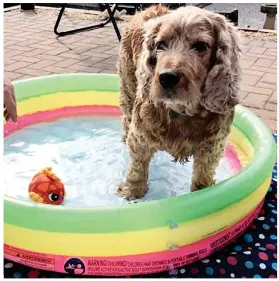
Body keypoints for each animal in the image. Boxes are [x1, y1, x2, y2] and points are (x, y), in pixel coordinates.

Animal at [117, 3, 242, 198]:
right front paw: (132, 191)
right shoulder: (140, 137)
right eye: (160, 44)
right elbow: (137, 167)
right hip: (128, 86)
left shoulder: (213, 147)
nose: (166, 77)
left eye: (200, 46)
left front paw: (203, 191)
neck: (183, 111)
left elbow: (203, 176)